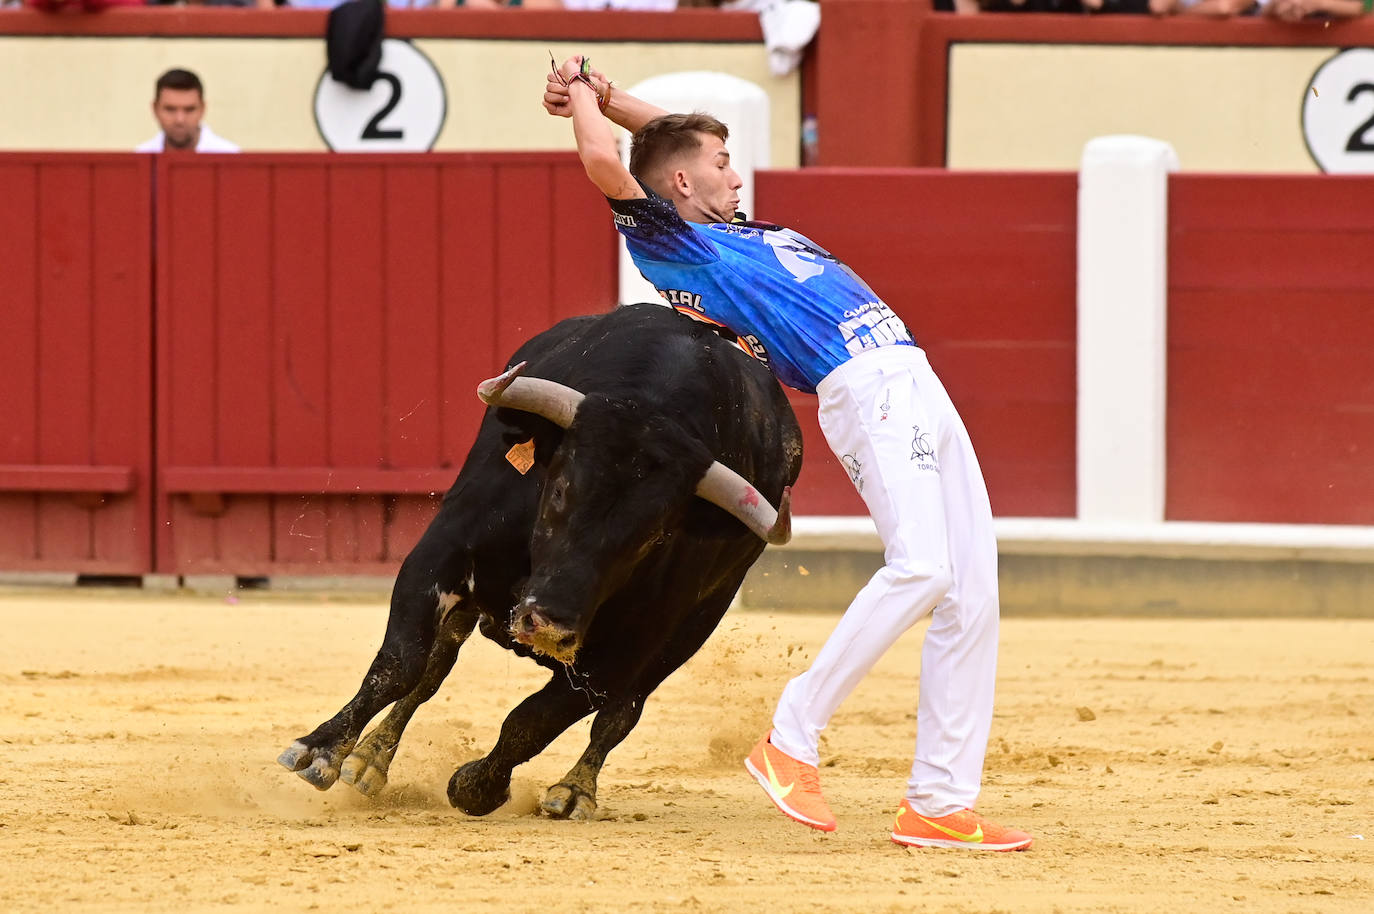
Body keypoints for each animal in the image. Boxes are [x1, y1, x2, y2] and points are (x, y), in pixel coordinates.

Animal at [276, 302, 802, 813]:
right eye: (562, 488)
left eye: (655, 534)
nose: (547, 625)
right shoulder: (438, 555)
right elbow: (402, 664)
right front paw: (320, 751)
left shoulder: (627, 648)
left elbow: (535, 720)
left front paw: (478, 786)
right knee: (434, 667)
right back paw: (369, 761)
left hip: (692, 628)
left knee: (620, 714)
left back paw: (574, 792)